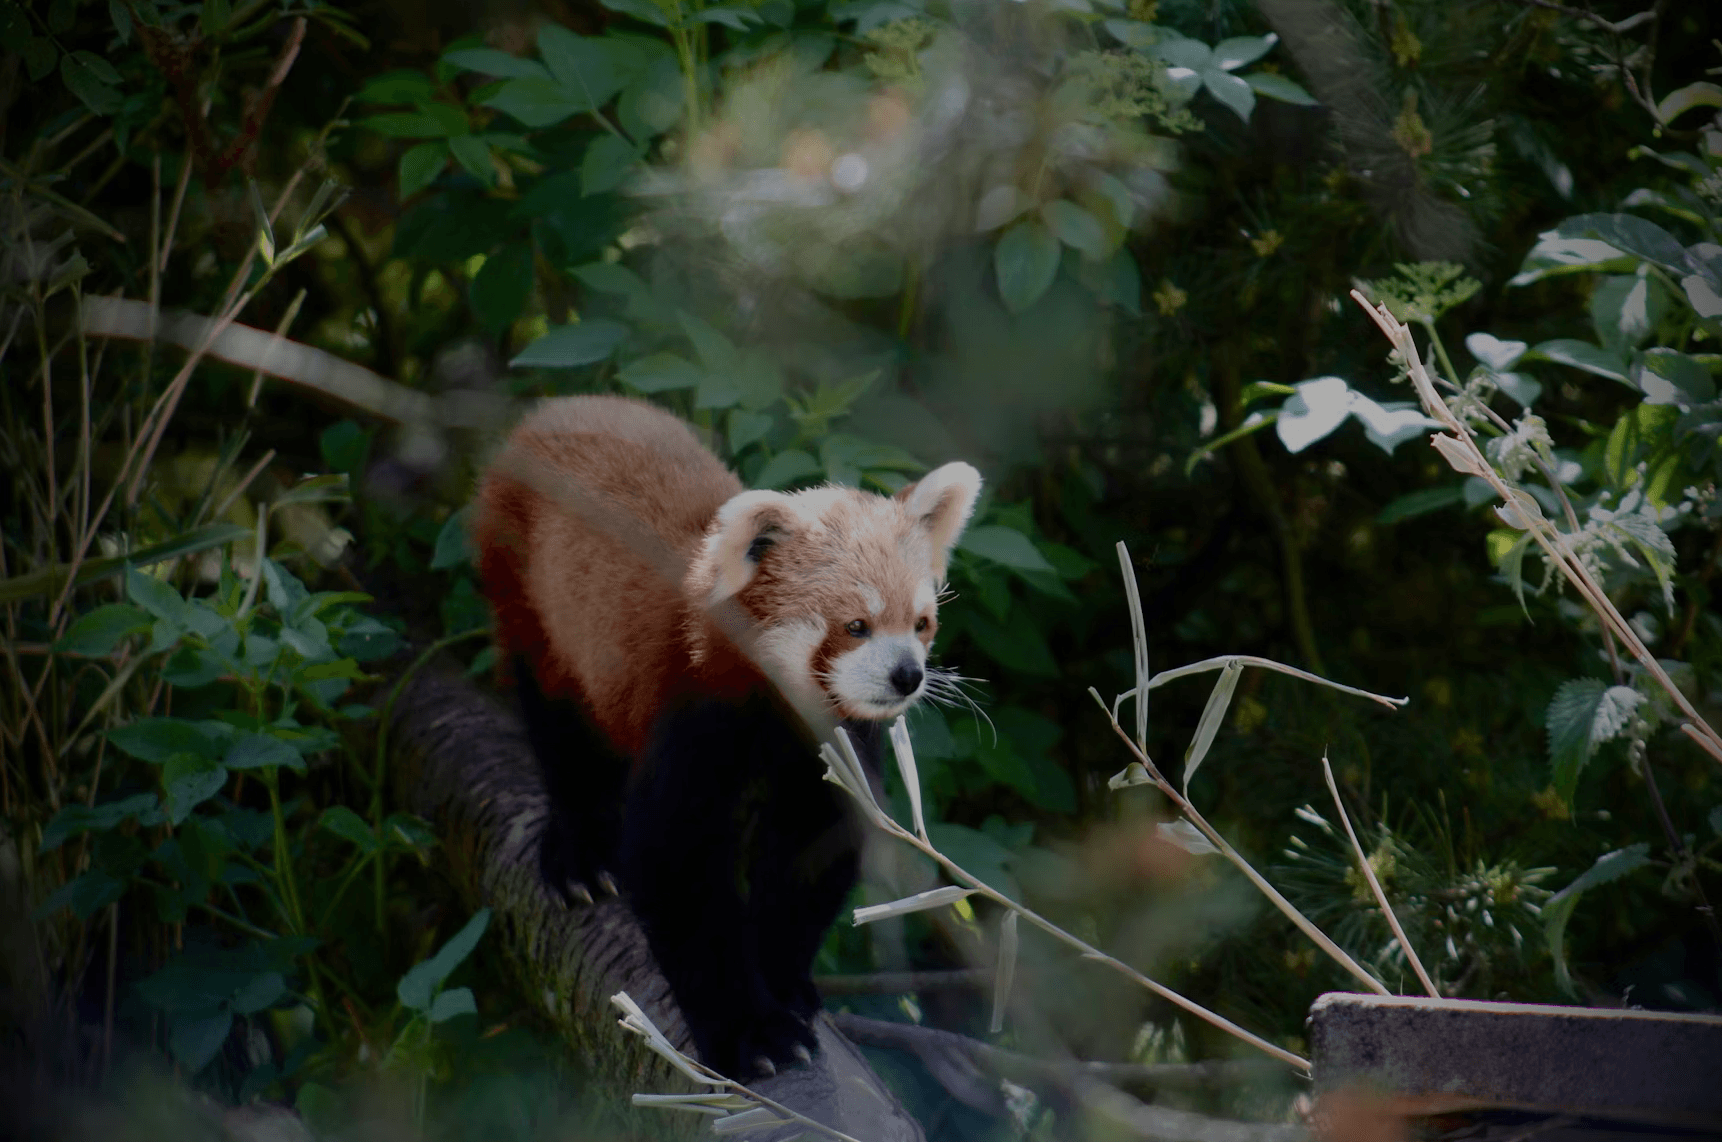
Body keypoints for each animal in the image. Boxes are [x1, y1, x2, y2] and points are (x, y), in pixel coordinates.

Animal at [471, 395, 981, 1078]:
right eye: (855, 625)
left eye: (921, 623)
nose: (907, 675)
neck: (778, 710)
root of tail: (560, 406)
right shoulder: (694, 715)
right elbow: (674, 862)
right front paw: (753, 1034)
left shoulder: (830, 748)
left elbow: (810, 852)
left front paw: (782, 981)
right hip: (528, 586)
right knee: (559, 722)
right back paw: (579, 851)